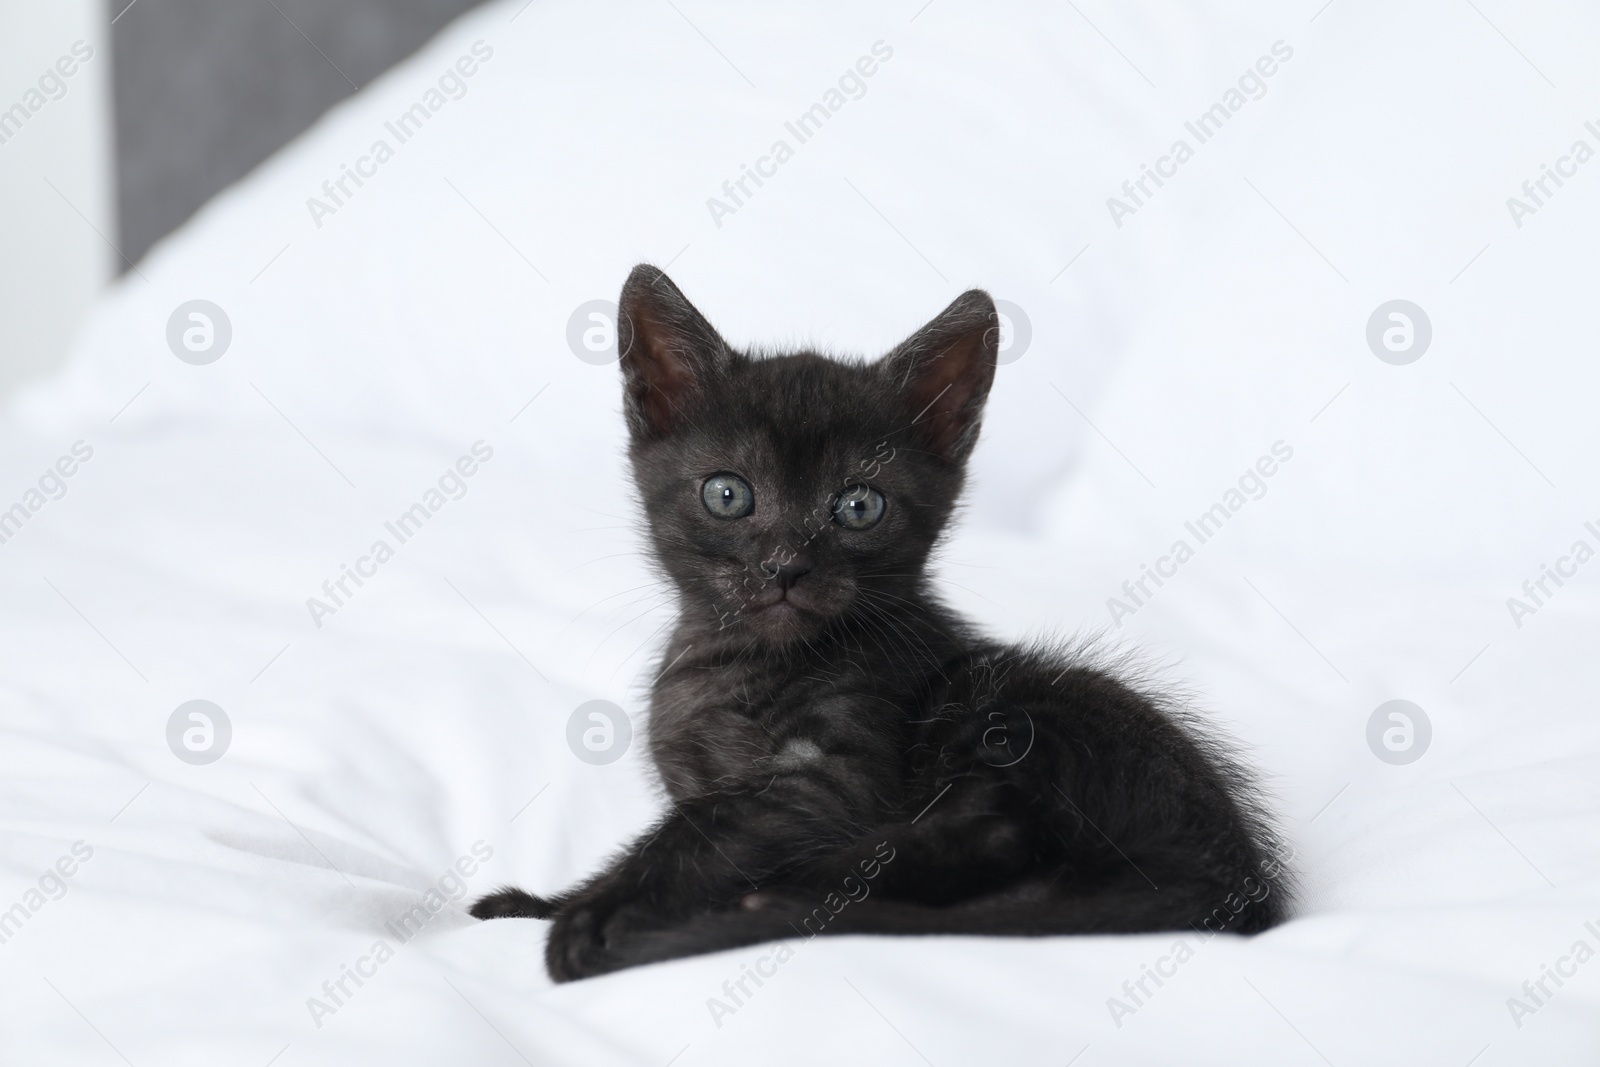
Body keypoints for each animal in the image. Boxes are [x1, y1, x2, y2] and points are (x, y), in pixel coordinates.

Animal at [467, 262, 1292, 979]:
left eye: (858, 506)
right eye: (728, 494)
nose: (785, 566)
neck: (743, 664)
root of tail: (1229, 879)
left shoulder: (838, 778)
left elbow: (701, 830)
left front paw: (597, 913)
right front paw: (548, 901)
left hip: (1007, 707)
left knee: (993, 828)